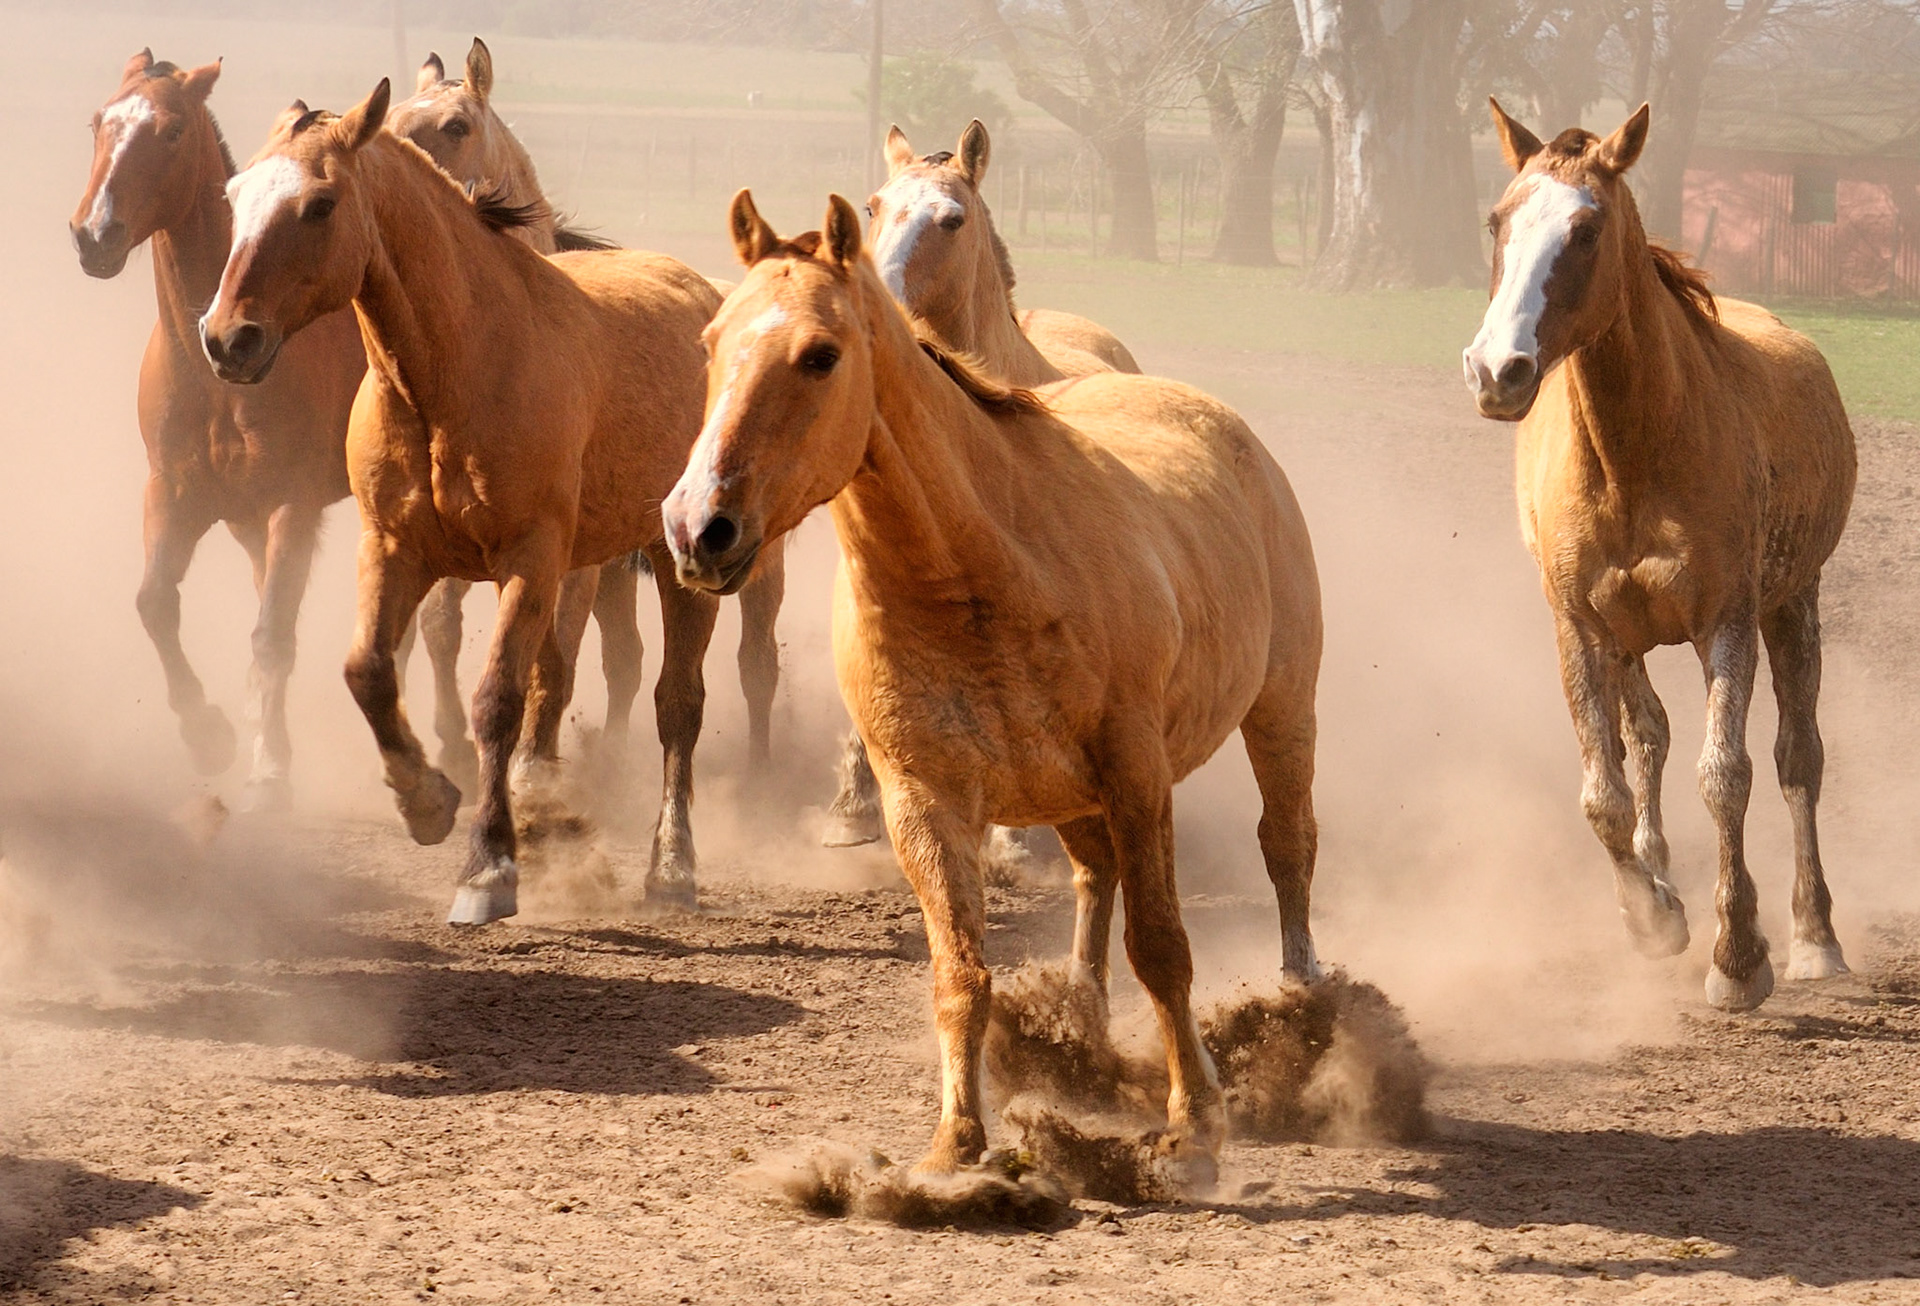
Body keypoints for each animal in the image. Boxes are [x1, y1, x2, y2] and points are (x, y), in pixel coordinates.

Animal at [67, 50, 367, 809]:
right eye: (99, 121)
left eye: (172, 132)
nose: (94, 235)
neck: (216, 371)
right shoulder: (177, 495)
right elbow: (154, 603)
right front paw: (211, 736)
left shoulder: (293, 504)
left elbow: (271, 635)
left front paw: (267, 773)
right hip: (244, 521)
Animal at [199, 80, 732, 923]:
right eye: (234, 195)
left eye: (319, 204)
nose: (227, 339)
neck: (461, 368)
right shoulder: (395, 550)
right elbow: (369, 671)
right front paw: (426, 800)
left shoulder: (529, 560)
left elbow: (496, 702)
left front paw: (488, 869)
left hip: (678, 564)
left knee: (677, 704)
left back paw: (671, 866)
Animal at [386, 37, 786, 783]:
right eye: (393, 112)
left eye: (456, 125)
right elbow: (438, 627)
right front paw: (447, 746)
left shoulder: (563, 562)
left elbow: (554, 656)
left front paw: (530, 766)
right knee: (625, 658)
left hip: (753, 560)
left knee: (757, 662)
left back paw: (757, 775)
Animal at [1463, 101, 1856, 1013]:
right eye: (1497, 221)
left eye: (1585, 230)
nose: (1497, 371)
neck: (1634, 453)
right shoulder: (1580, 628)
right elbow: (1603, 791)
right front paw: (1651, 916)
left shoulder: (1729, 623)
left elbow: (1728, 774)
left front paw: (1739, 958)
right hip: (1629, 639)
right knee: (1647, 738)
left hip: (1794, 605)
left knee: (1798, 760)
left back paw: (1814, 937)